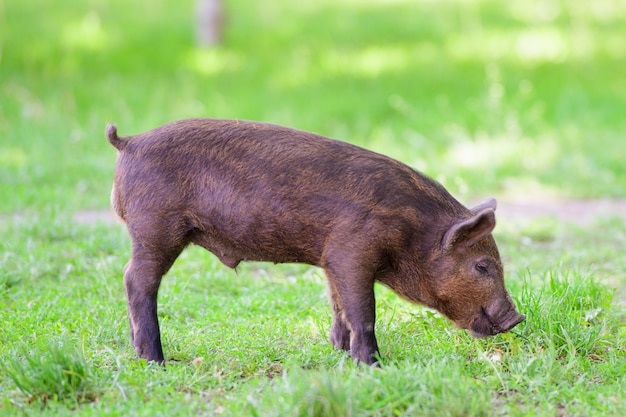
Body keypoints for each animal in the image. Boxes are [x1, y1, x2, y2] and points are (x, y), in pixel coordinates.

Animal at [106, 118, 520, 364]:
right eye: (482, 265)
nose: (516, 317)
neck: (413, 232)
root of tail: (129, 142)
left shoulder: (330, 260)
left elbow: (338, 305)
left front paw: (338, 353)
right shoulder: (352, 251)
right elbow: (363, 311)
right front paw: (371, 365)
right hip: (156, 228)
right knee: (135, 279)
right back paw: (154, 360)